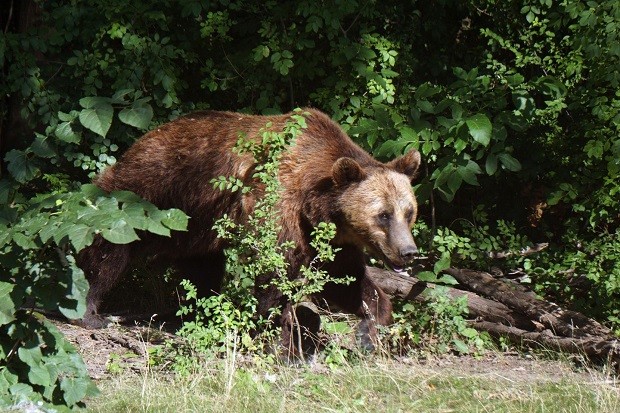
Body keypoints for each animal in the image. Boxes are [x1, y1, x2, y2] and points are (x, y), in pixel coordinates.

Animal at [75, 108, 418, 350]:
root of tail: (139, 142)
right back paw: (91, 311)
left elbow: (346, 280)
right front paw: (275, 334)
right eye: (383, 215)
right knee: (106, 252)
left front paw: (375, 322)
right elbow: (273, 271)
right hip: (141, 195)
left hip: (194, 226)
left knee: (202, 268)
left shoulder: (331, 240)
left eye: (408, 212)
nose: (409, 252)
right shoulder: (277, 202)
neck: (316, 202)